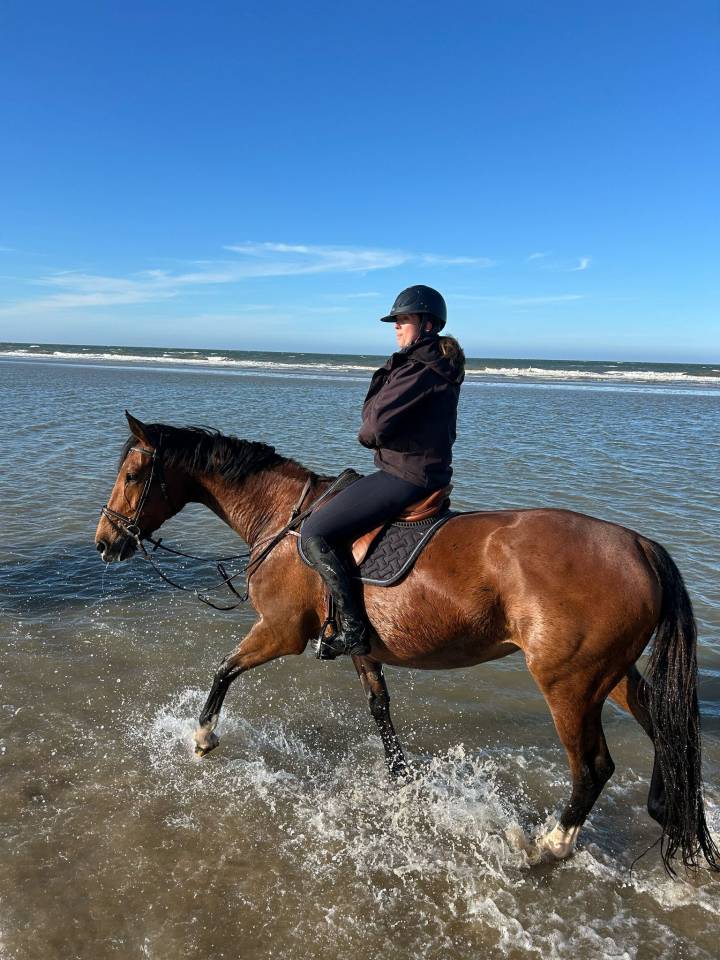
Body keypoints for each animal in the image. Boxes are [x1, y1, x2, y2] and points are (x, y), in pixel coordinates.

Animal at [95, 412, 719, 876]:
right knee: (665, 727)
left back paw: (549, 845)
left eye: (133, 476)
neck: (285, 521)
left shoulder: (280, 631)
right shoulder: (361, 646)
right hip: (610, 675)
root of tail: (639, 546)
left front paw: (202, 737)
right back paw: (673, 815)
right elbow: (380, 710)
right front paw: (402, 783)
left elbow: (224, 669)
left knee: (592, 767)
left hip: (568, 681)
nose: (104, 542)